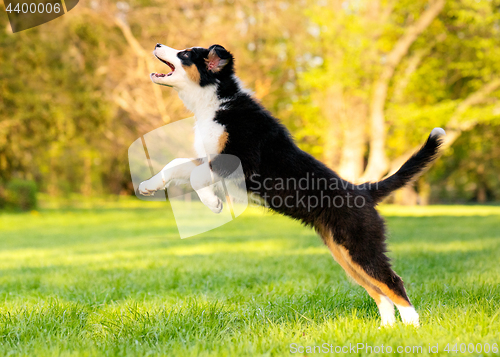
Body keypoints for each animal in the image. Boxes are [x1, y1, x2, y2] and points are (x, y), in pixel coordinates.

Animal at [138, 43, 446, 326]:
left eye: (186, 54)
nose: (157, 44)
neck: (215, 102)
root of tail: (364, 190)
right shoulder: (209, 158)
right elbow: (177, 165)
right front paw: (148, 186)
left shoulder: (239, 161)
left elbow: (194, 175)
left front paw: (213, 203)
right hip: (343, 253)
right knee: (378, 291)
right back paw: (386, 330)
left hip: (361, 245)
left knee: (392, 281)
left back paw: (411, 328)